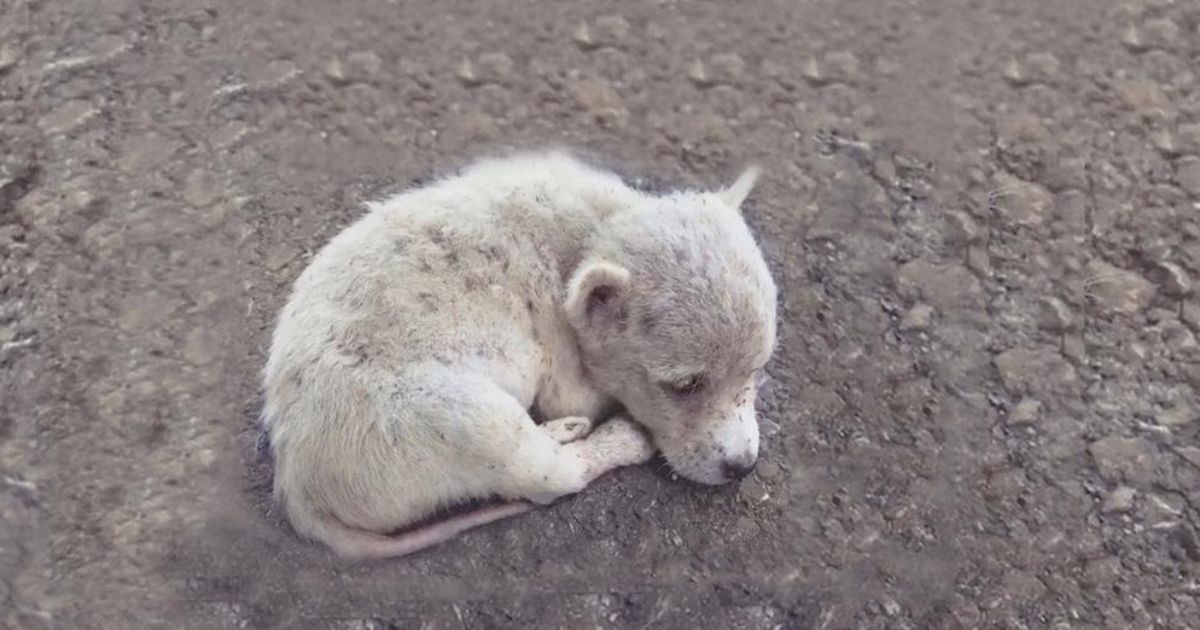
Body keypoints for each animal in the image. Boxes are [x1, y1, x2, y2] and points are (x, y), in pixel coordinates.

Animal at [260, 152, 777, 559]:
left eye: (758, 370)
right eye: (683, 386)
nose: (742, 467)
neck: (594, 228)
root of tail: (298, 486)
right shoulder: (562, 364)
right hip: (459, 418)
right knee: (553, 476)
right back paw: (605, 438)